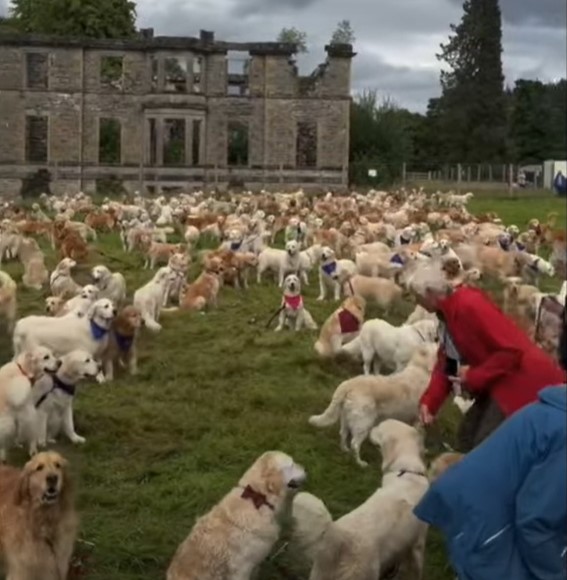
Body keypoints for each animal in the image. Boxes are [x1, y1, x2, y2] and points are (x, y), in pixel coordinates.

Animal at [290, 422, 428, 580]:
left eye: (379, 429)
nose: (372, 427)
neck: (408, 470)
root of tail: (337, 535)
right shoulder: (419, 542)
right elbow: (416, 568)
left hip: (320, 573)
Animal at [310, 344, 440, 466]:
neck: (420, 368)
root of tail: (348, 384)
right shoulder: (420, 419)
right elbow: (421, 436)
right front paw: (423, 450)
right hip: (363, 424)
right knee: (355, 444)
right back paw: (360, 463)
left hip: (346, 418)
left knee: (343, 434)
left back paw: (345, 450)